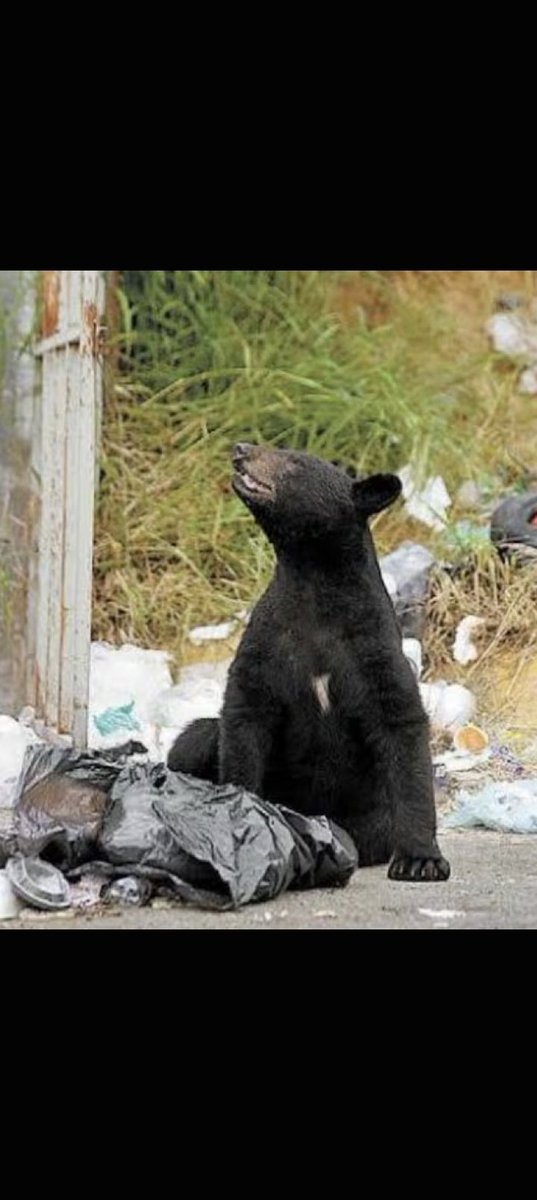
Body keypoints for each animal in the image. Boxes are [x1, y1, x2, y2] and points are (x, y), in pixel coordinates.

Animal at [168, 442, 450, 882]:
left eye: (293, 461)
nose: (240, 449)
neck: (314, 581)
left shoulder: (373, 649)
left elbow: (401, 725)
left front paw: (421, 860)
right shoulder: (268, 641)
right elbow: (246, 714)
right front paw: (244, 821)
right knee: (194, 737)